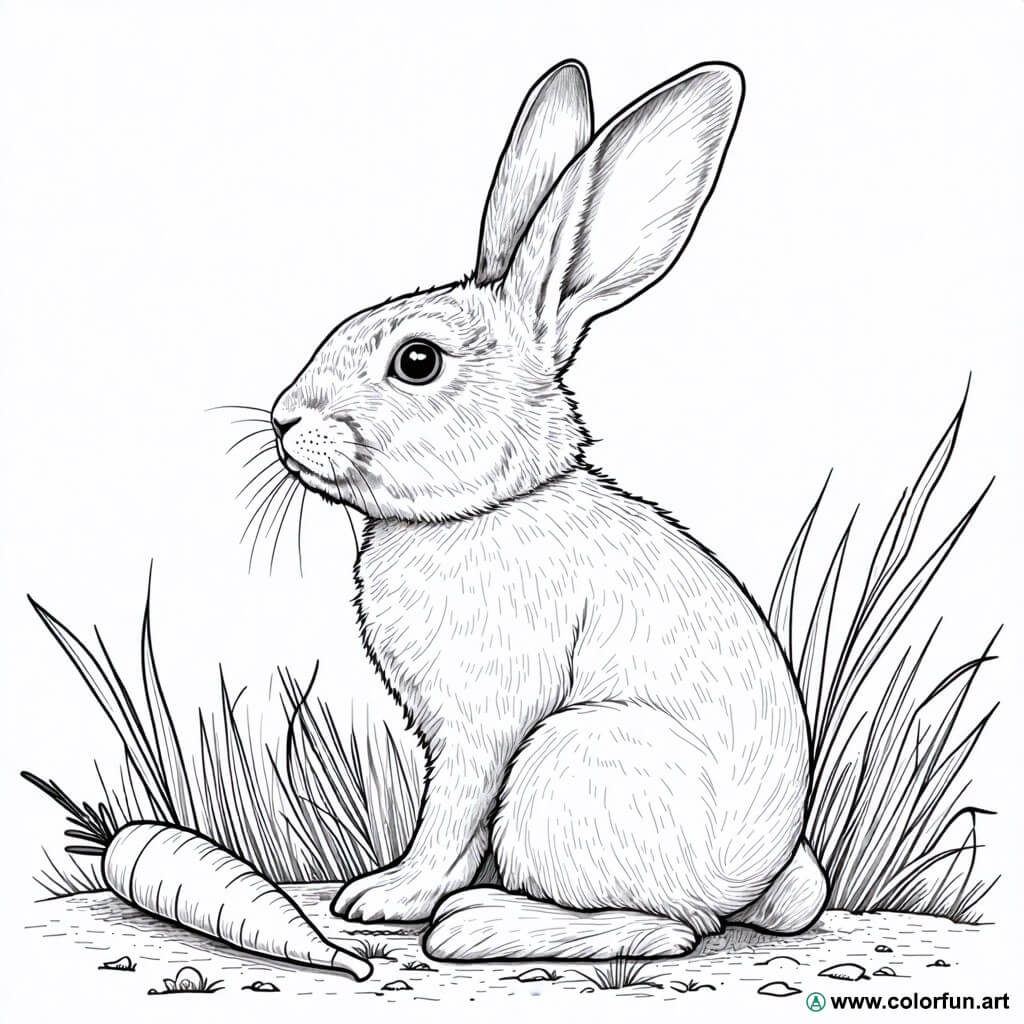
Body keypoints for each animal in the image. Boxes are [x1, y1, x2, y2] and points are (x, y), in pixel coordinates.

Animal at [270, 58, 827, 960]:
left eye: (416, 361)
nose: (284, 419)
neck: (489, 506)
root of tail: (747, 879)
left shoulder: (485, 725)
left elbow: (450, 819)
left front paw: (386, 897)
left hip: (570, 760)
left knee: (670, 928)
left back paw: (477, 926)